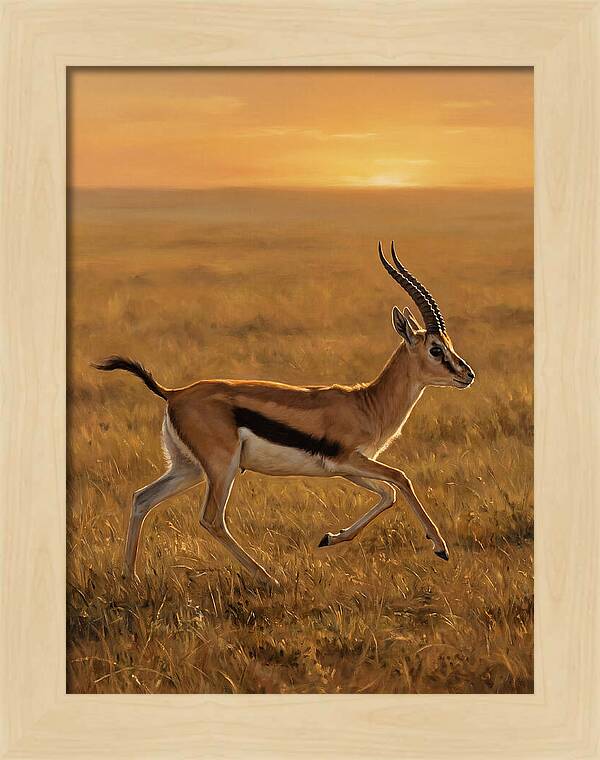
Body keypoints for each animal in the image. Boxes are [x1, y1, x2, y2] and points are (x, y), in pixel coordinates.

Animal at [93, 242, 475, 586]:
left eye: (449, 344)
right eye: (435, 349)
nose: (467, 374)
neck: (367, 403)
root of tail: (173, 393)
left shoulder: (345, 468)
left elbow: (388, 494)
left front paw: (329, 538)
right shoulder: (349, 459)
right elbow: (401, 479)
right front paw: (440, 547)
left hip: (188, 468)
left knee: (142, 498)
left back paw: (130, 577)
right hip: (221, 468)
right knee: (212, 519)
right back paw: (269, 577)